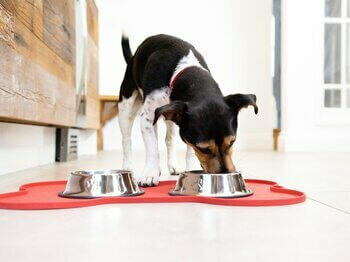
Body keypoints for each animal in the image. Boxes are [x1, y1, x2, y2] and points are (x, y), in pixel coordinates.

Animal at [117, 34, 258, 186]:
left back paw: (173, 165)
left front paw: (191, 169)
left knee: (169, 139)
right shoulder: (147, 118)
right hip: (126, 106)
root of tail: (133, 57)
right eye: (203, 148)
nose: (225, 174)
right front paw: (150, 174)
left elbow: (190, 151)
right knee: (126, 140)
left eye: (232, 142)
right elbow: (153, 148)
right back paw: (127, 168)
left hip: (169, 116)